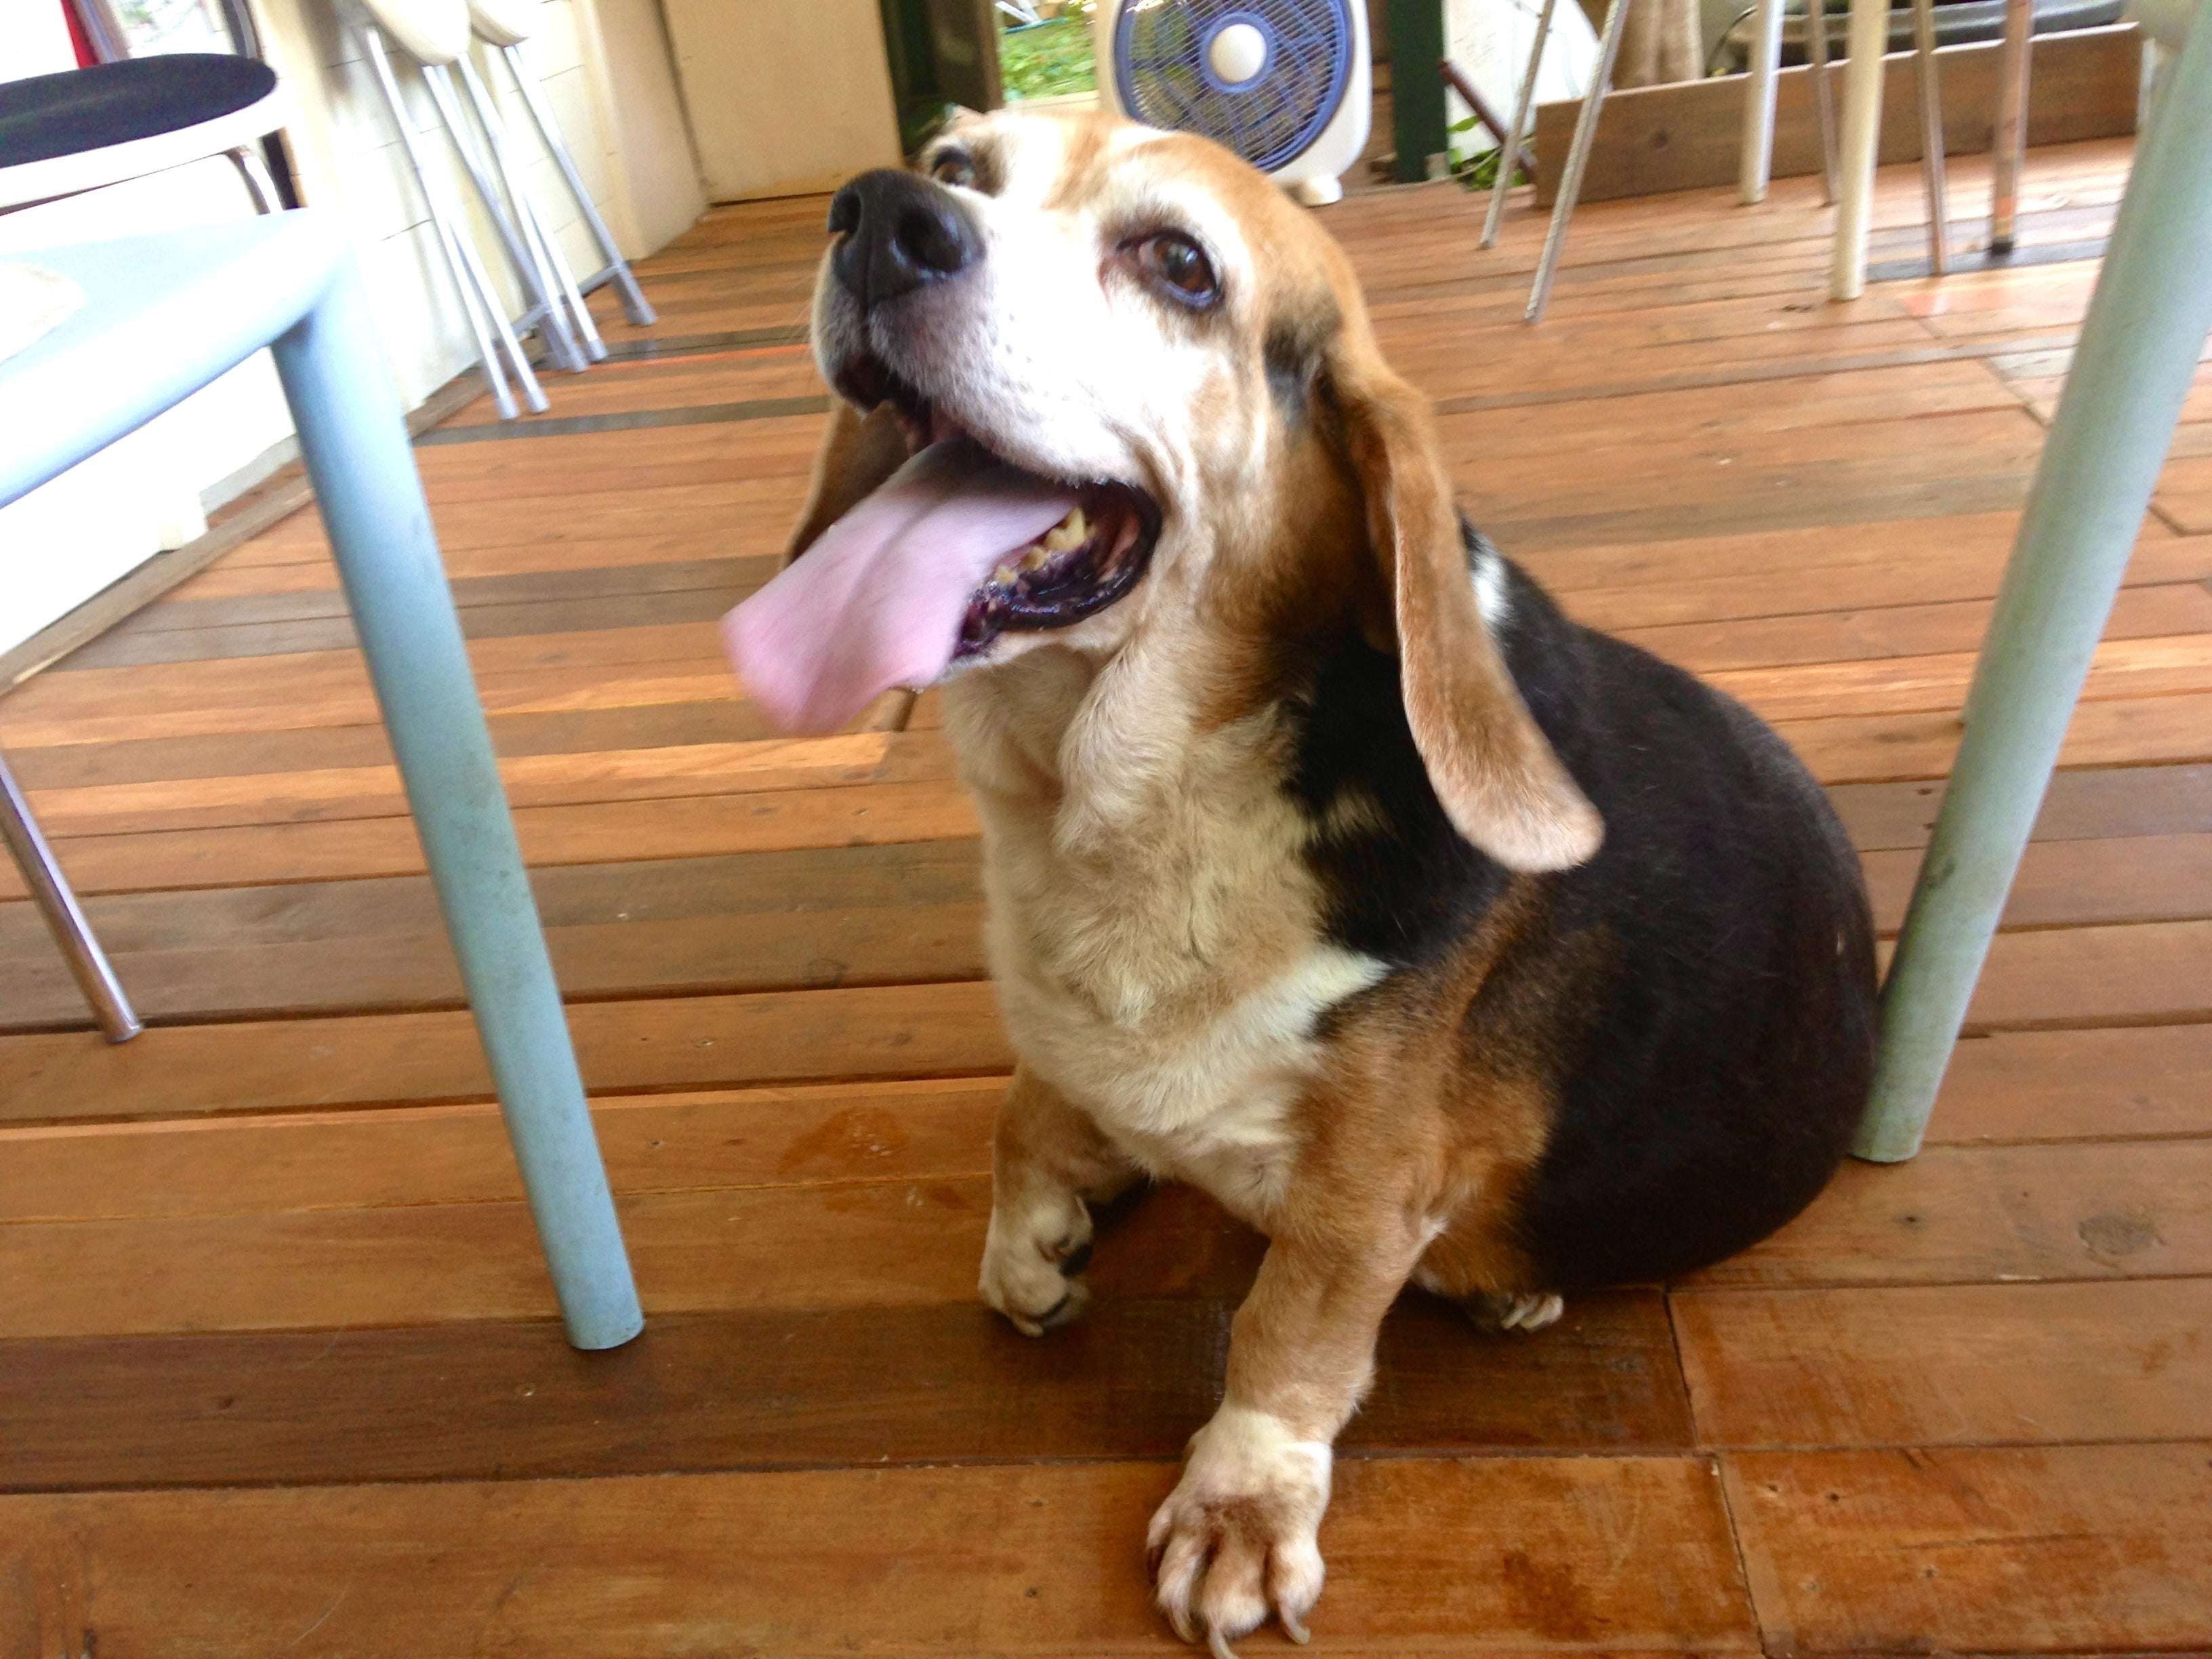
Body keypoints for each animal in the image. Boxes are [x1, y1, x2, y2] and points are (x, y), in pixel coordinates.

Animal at [725, 108, 1877, 1654]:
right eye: (957, 165)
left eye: (1179, 263)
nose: (879, 216)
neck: (1136, 809)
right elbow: (1027, 1113)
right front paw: (1037, 1232)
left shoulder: (1365, 1194)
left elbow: (1286, 1333)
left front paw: (1239, 1503)